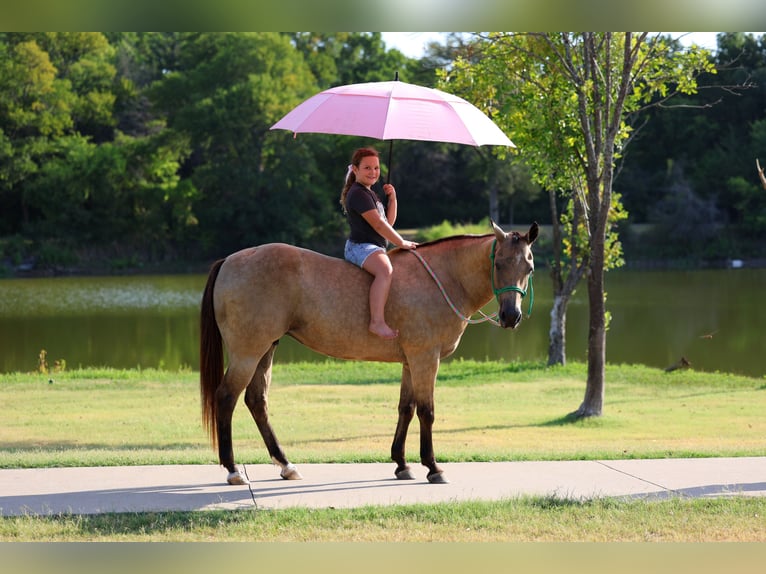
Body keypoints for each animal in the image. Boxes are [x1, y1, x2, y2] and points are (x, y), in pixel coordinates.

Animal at [200, 221, 538, 485]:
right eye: (498, 264)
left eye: (529, 267)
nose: (510, 316)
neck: (443, 277)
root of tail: (229, 260)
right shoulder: (425, 359)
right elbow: (426, 412)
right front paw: (432, 466)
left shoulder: (411, 362)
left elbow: (406, 408)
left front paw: (401, 463)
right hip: (248, 352)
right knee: (226, 398)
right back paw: (233, 470)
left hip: (265, 350)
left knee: (256, 401)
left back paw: (285, 464)